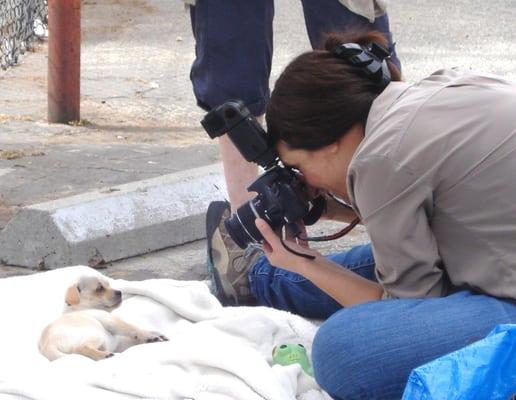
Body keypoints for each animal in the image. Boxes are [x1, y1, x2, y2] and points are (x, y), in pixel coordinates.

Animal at [40, 276, 169, 360]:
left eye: (109, 285)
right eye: (99, 289)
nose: (120, 292)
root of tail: (48, 346)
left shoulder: (119, 343)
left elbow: (135, 335)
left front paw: (155, 334)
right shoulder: (112, 322)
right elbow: (133, 328)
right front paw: (150, 336)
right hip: (96, 336)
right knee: (81, 348)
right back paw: (104, 355)